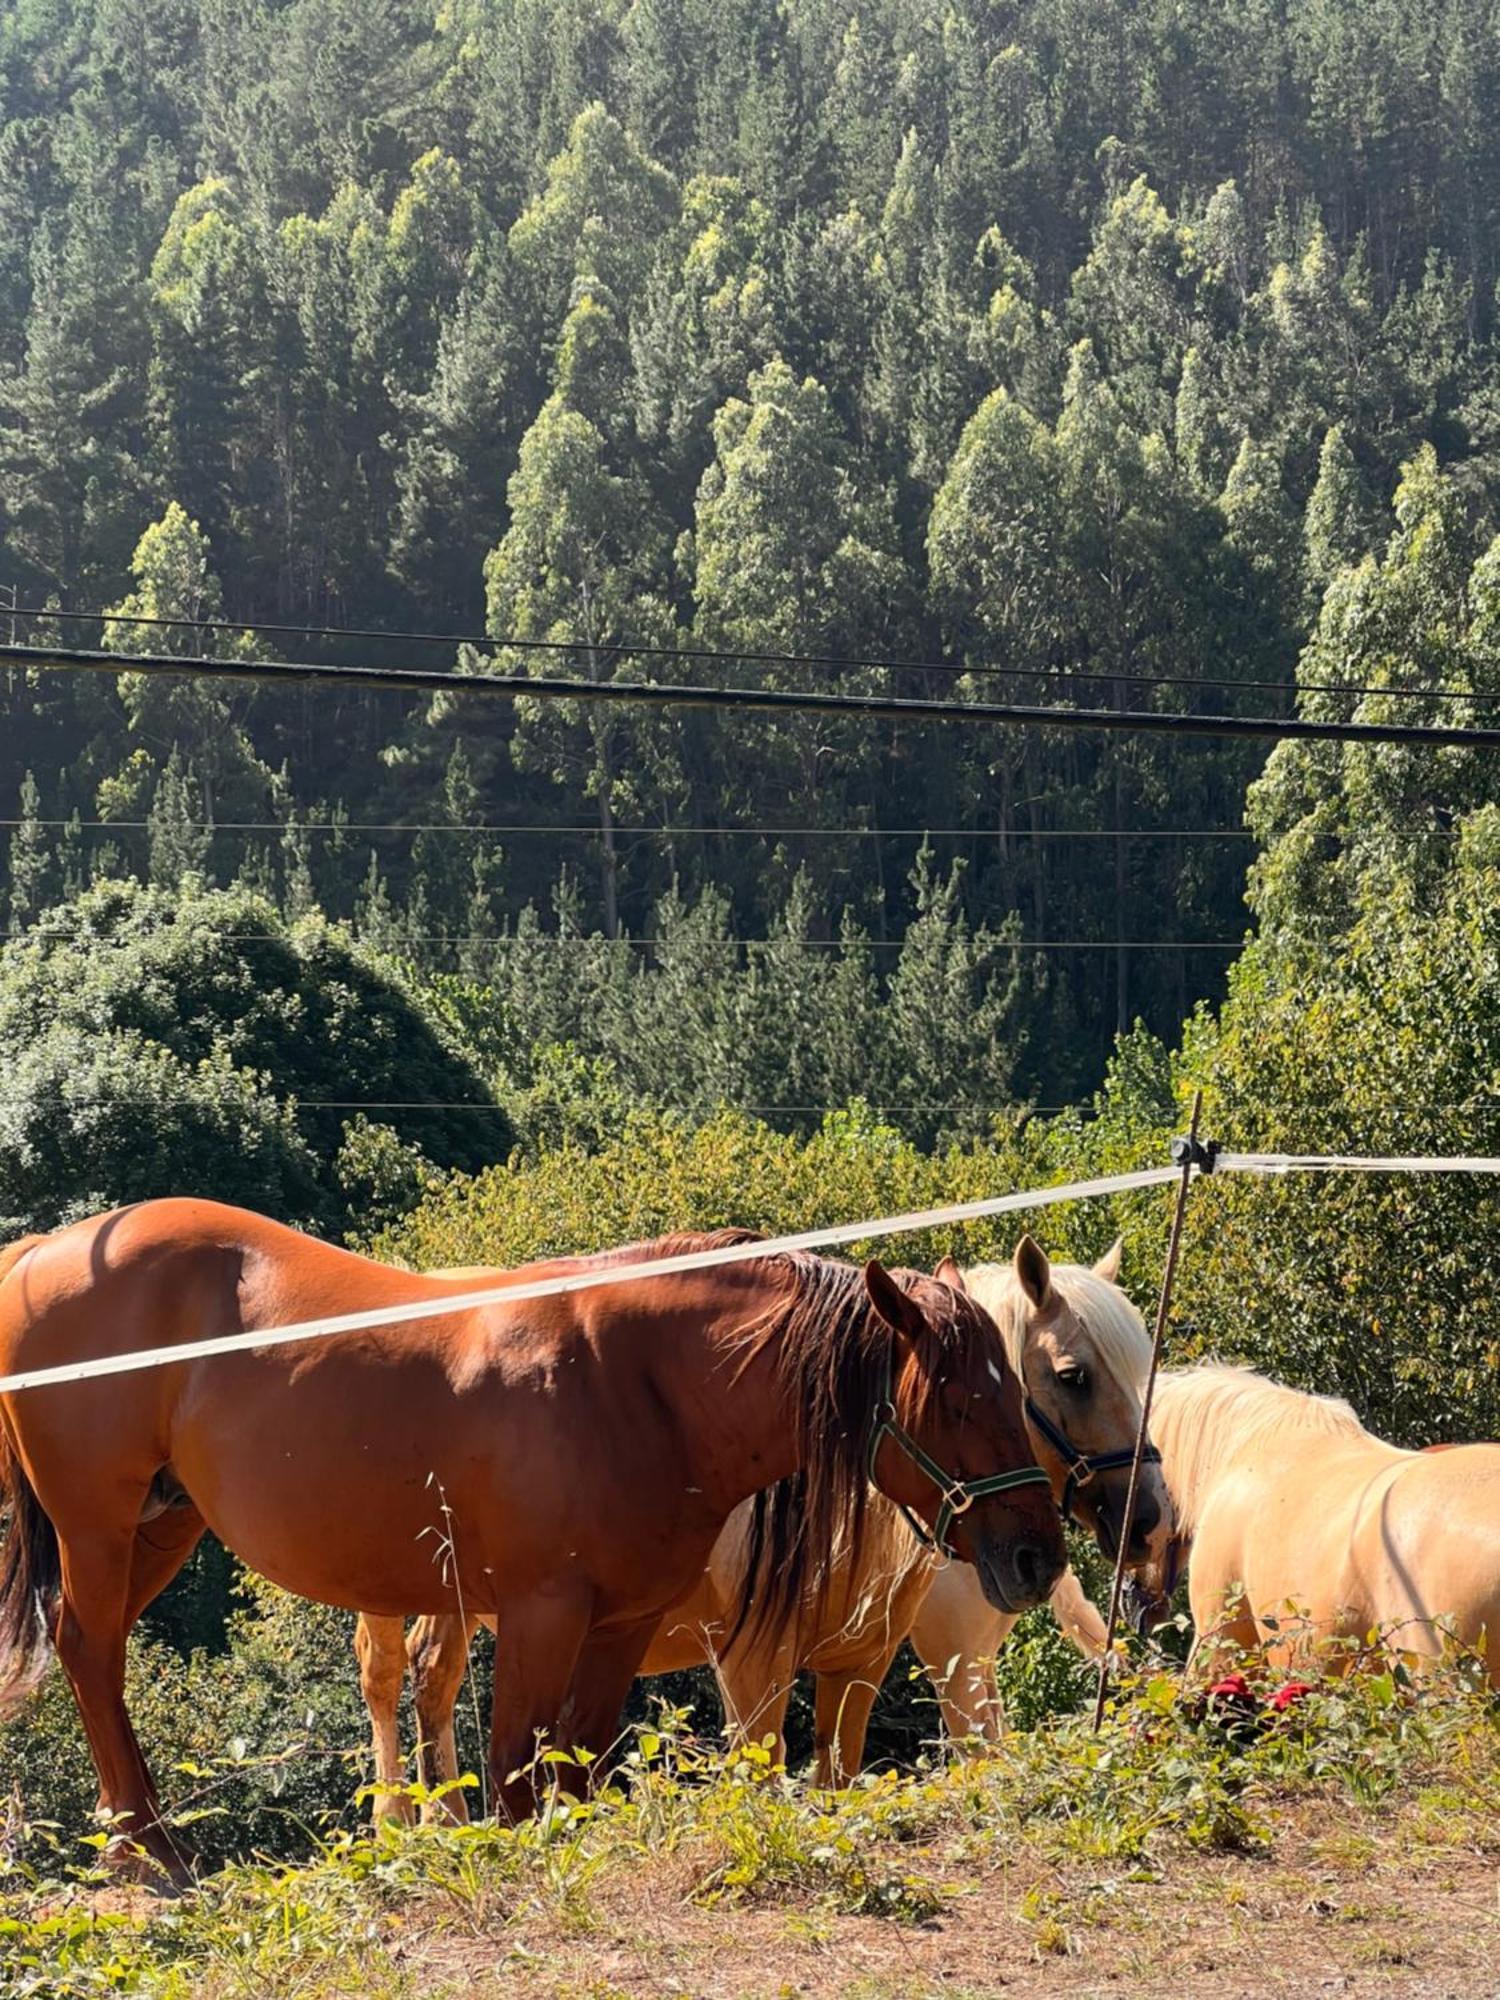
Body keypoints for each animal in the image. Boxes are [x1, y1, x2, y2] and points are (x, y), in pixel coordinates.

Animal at [0, 1200, 1072, 1872]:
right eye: (960, 1401)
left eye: (1017, 1389)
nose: (1039, 1557)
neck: (629, 1379)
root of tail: (45, 1249)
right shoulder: (538, 1616)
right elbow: (515, 1777)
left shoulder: (620, 1626)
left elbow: (577, 1772)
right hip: (99, 1527)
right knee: (89, 1651)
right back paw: (149, 1849)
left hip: (160, 1526)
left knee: (98, 1654)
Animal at [356, 1232, 1160, 1816]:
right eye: (1074, 1376)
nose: (1147, 1515)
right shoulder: (768, 1670)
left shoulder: (866, 1666)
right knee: (389, 1676)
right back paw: (400, 1826)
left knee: (435, 1676)